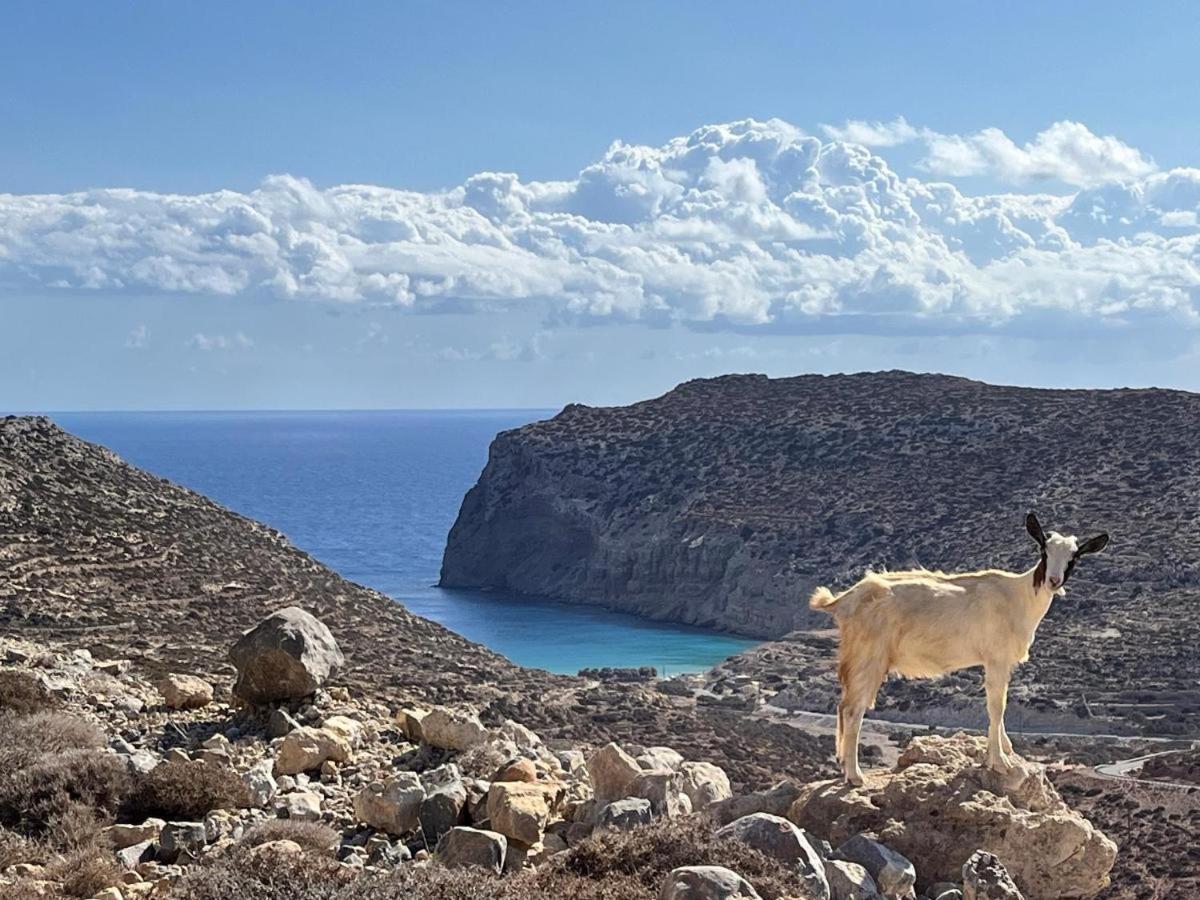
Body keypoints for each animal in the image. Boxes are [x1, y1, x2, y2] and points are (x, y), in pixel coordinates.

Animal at [806, 511, 1104, 787]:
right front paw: (1000, 762)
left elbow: (999, 703)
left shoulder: (1000, 662)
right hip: (869, 657)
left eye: (1074, 557)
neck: (1019, 597)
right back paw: (855, 775)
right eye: (1044, 550)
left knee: (843, 705)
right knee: (853, 710)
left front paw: (1007, 749)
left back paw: (844, 764)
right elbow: (997, 705)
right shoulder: (996, 658)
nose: (1054, 580)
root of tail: (845, 600)